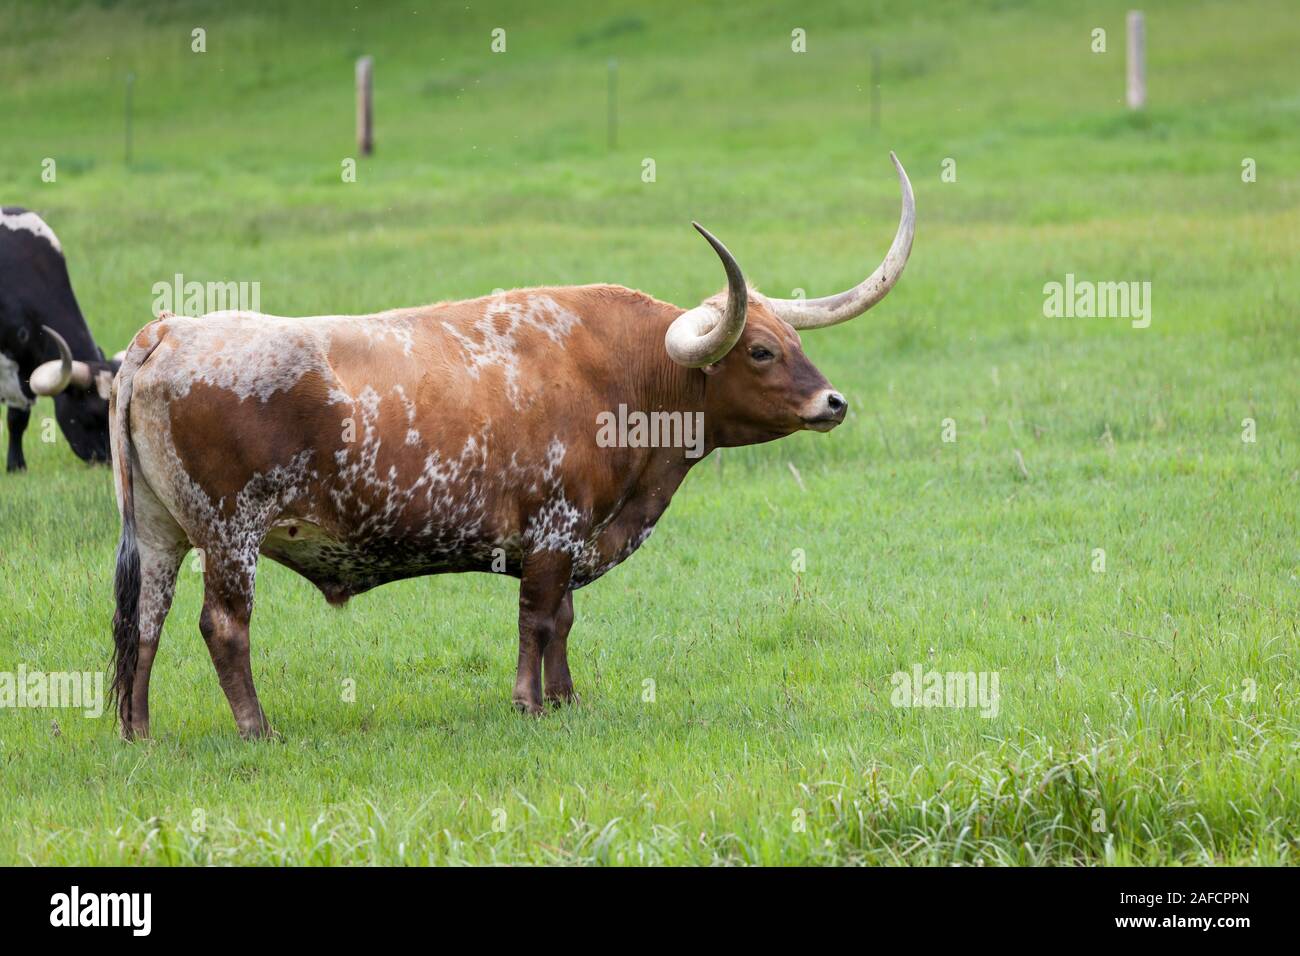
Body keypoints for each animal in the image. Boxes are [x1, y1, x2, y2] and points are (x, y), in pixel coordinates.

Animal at [109, 153, 915, 740]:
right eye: (759, 352)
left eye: (793, 343)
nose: (833, 403)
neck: (625, 372)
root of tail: (165, 333)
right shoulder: (553, 531)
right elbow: (538, 617)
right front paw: (530, 704)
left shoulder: (573, 532)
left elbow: (562, 620)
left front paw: (566, 701)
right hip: (229, 533)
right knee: (223, 627)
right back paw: (257, 729)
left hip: (160, 530)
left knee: (145, 619)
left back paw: (139, 732)